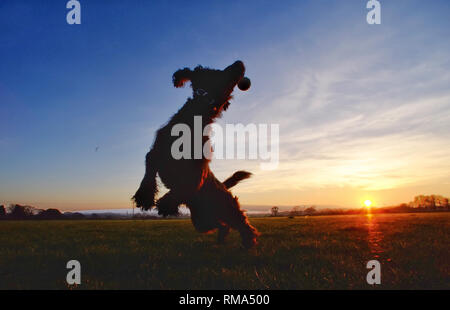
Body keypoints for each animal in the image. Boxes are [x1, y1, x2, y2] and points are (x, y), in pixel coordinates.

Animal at [133, 60, 260, 248]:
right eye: (220, 71)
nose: (239, 62)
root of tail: (224, 186)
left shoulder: (197, 172)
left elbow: (183, 186)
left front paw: (166, 203)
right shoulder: (156, 153)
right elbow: (148, 173)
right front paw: (145, 197)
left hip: (226, 209)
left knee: (242, 222)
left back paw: (249, 242)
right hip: (202, 220)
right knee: (224, 225)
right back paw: (223, 239)